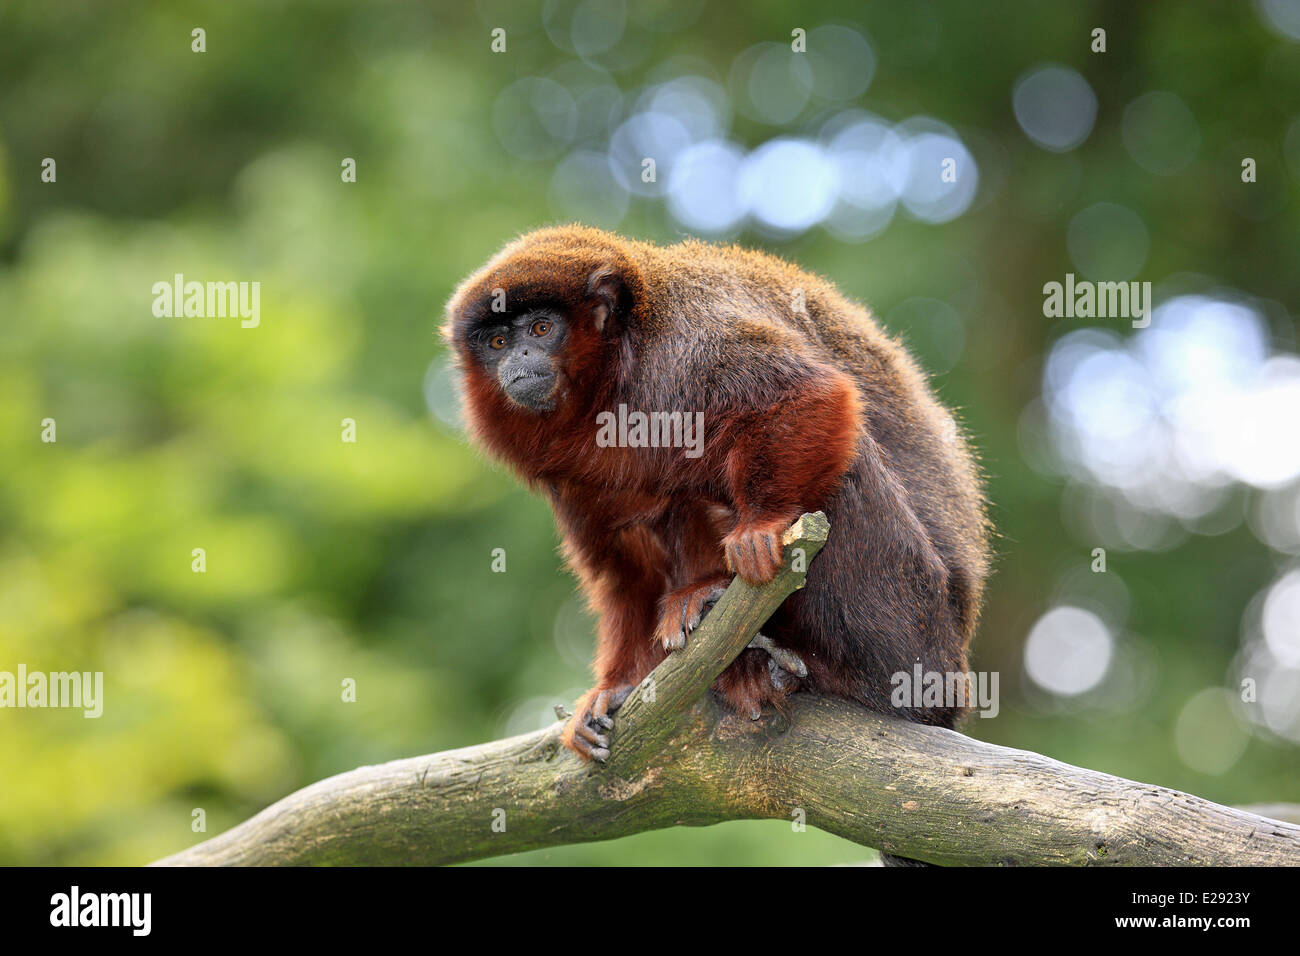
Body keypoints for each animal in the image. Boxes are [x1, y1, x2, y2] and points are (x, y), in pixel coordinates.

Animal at [441, 222, 987, 764]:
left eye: (539, 329)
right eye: (497, 341)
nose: (518, 358)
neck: (615, 381)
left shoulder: (687, 343)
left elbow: (808, 394)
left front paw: (763, 526)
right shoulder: (571, 478)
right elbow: (627, 568)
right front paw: (616, 687)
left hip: (913, 617)